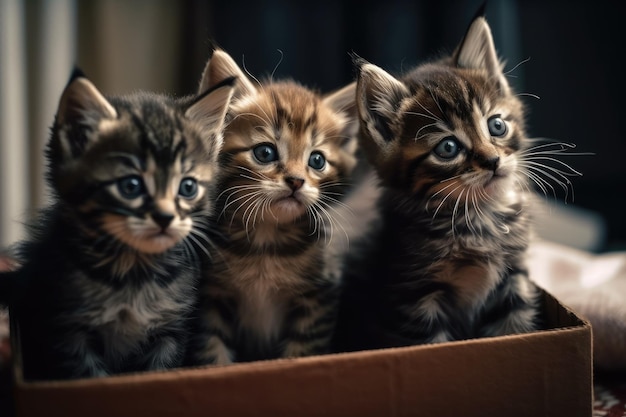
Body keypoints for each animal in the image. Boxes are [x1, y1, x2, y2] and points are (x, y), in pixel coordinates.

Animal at [6, 70, 234, 378]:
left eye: (187, 187)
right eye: (131, 186)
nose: (165, 217)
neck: (132, 271)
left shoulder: (171, 331)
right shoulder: (67, 333)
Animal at [185, 48, 358, 364]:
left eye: (317, 160)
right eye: (264, 153)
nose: (296, 181)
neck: (266, 243)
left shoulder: (318, 299)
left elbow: (301, 352)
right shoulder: (211, 296)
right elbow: (212, 353)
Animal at [336, 12, 580, 352]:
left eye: (497, 125)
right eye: (448, 148)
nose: (493, 161)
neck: (479, 215)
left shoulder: (513, 280)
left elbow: (515, 331)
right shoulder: (415, 297)